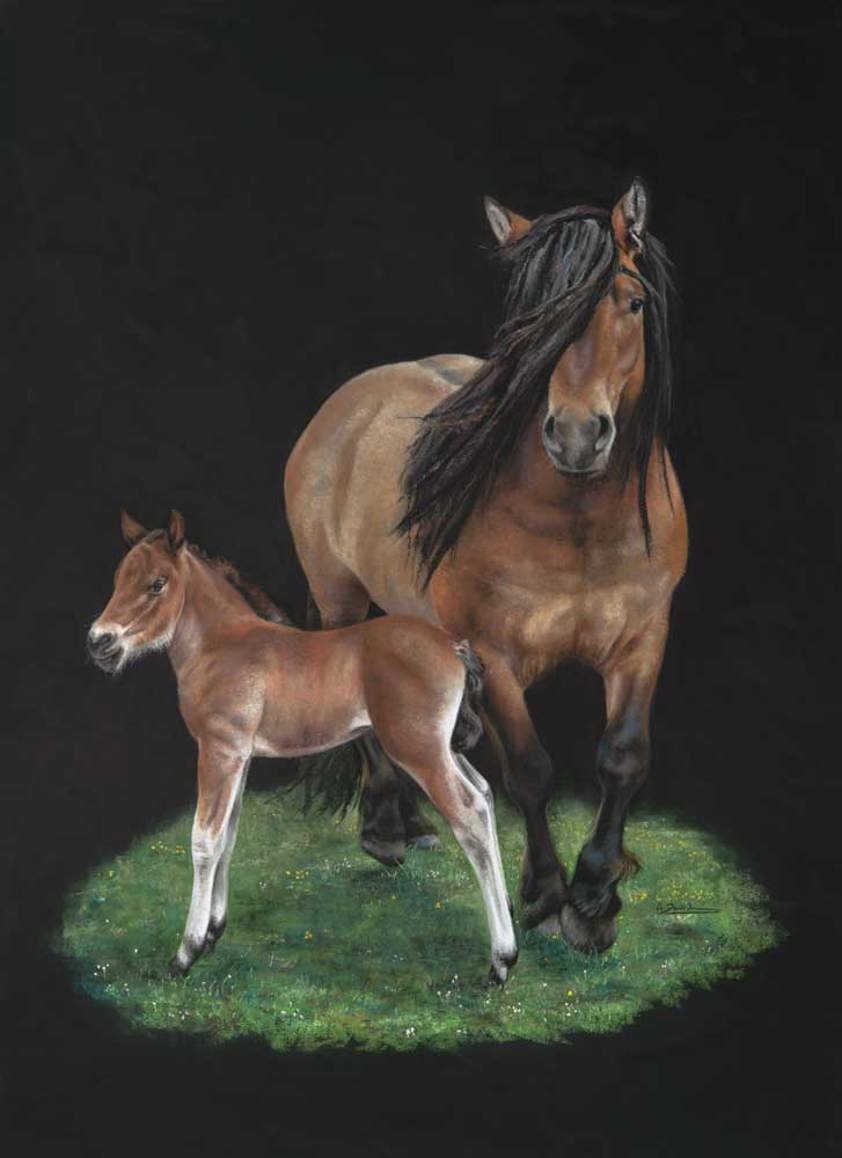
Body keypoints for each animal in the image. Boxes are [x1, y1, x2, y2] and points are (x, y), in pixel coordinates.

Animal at [87, 509, 518, 984]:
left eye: (157, 584)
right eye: (117, 578)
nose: (100, 642)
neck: (221, 645)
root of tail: (452, 645)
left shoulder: (219, 752)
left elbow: (204, 840)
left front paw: (187, 952)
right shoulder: (240, 758)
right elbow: (229, 836)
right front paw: (215, 930)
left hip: (420, 752)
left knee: (469, 814)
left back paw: (502, 959)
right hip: (445, 748)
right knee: (484, 794)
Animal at [285, 178, 688, 955]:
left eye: (630, 302)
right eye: (529, 322)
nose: (577, 435)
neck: (580, 521)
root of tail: (345, 404)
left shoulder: (643, 640)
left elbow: (623, 757)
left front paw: (598, 891)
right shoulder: (496, 655)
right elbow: (528, 769)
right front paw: (552, 893)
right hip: (344, 599)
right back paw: (387, 828)